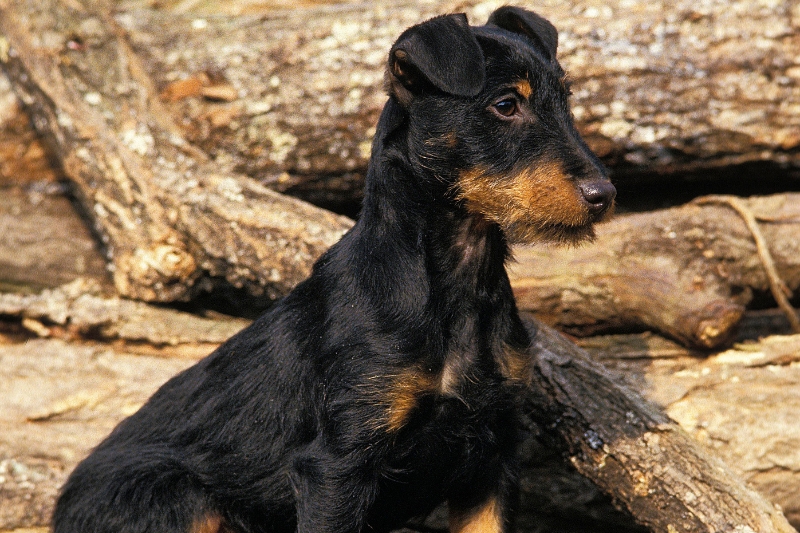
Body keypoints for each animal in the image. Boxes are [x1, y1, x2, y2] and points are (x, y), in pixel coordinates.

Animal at [53, 6, 616, 528]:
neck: (457, 277)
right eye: (505, 105)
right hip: (177, 499)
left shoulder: (491, 458)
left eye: (566, 102)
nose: (604, 195)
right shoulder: (337, 467)